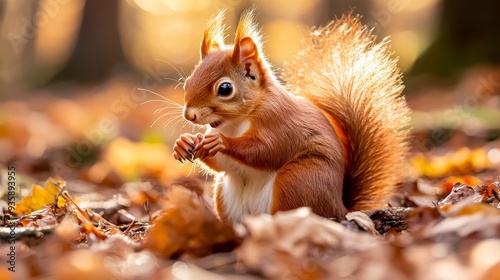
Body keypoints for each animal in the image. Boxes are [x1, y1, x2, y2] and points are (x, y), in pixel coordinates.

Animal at [172, 9, 410, 223]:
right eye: (188, 82)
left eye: (225, 89)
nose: (190, 115)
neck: (235, 122)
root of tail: (340, 208)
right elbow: (223, 165)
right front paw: (185, 142)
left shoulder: (280, 121)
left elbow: (267, 149)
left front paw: (221, 142)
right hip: (225, 192)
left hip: (297, 179)